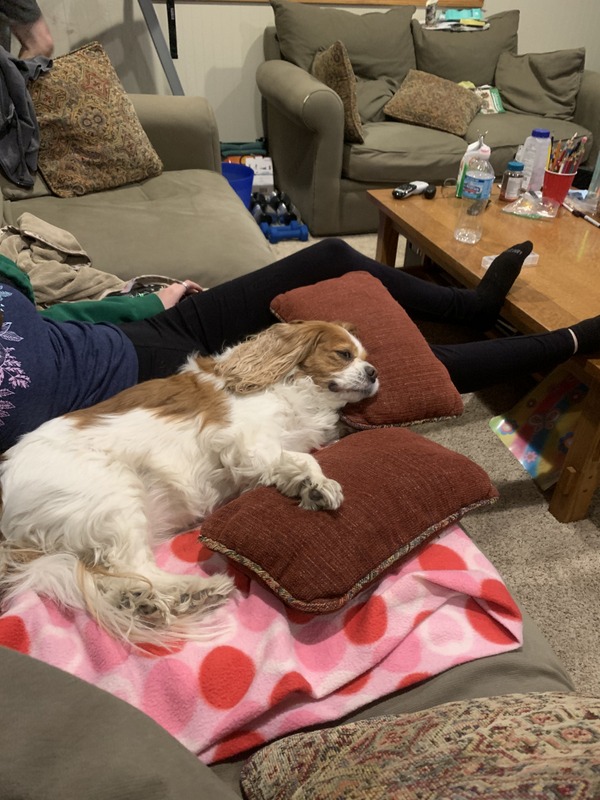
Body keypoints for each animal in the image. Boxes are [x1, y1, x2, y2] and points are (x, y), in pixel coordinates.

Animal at [0, 320, 378, 645]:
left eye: (366, 357)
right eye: (343, 354)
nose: (374, 372)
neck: (293, 387)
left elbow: (289, 462)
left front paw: (307, 484)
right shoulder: (246, 440)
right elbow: (305, 458)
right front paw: (320, 484)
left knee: (109, 576)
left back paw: (139, 600)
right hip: (114, 492)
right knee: (131, 565)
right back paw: (188, 591)